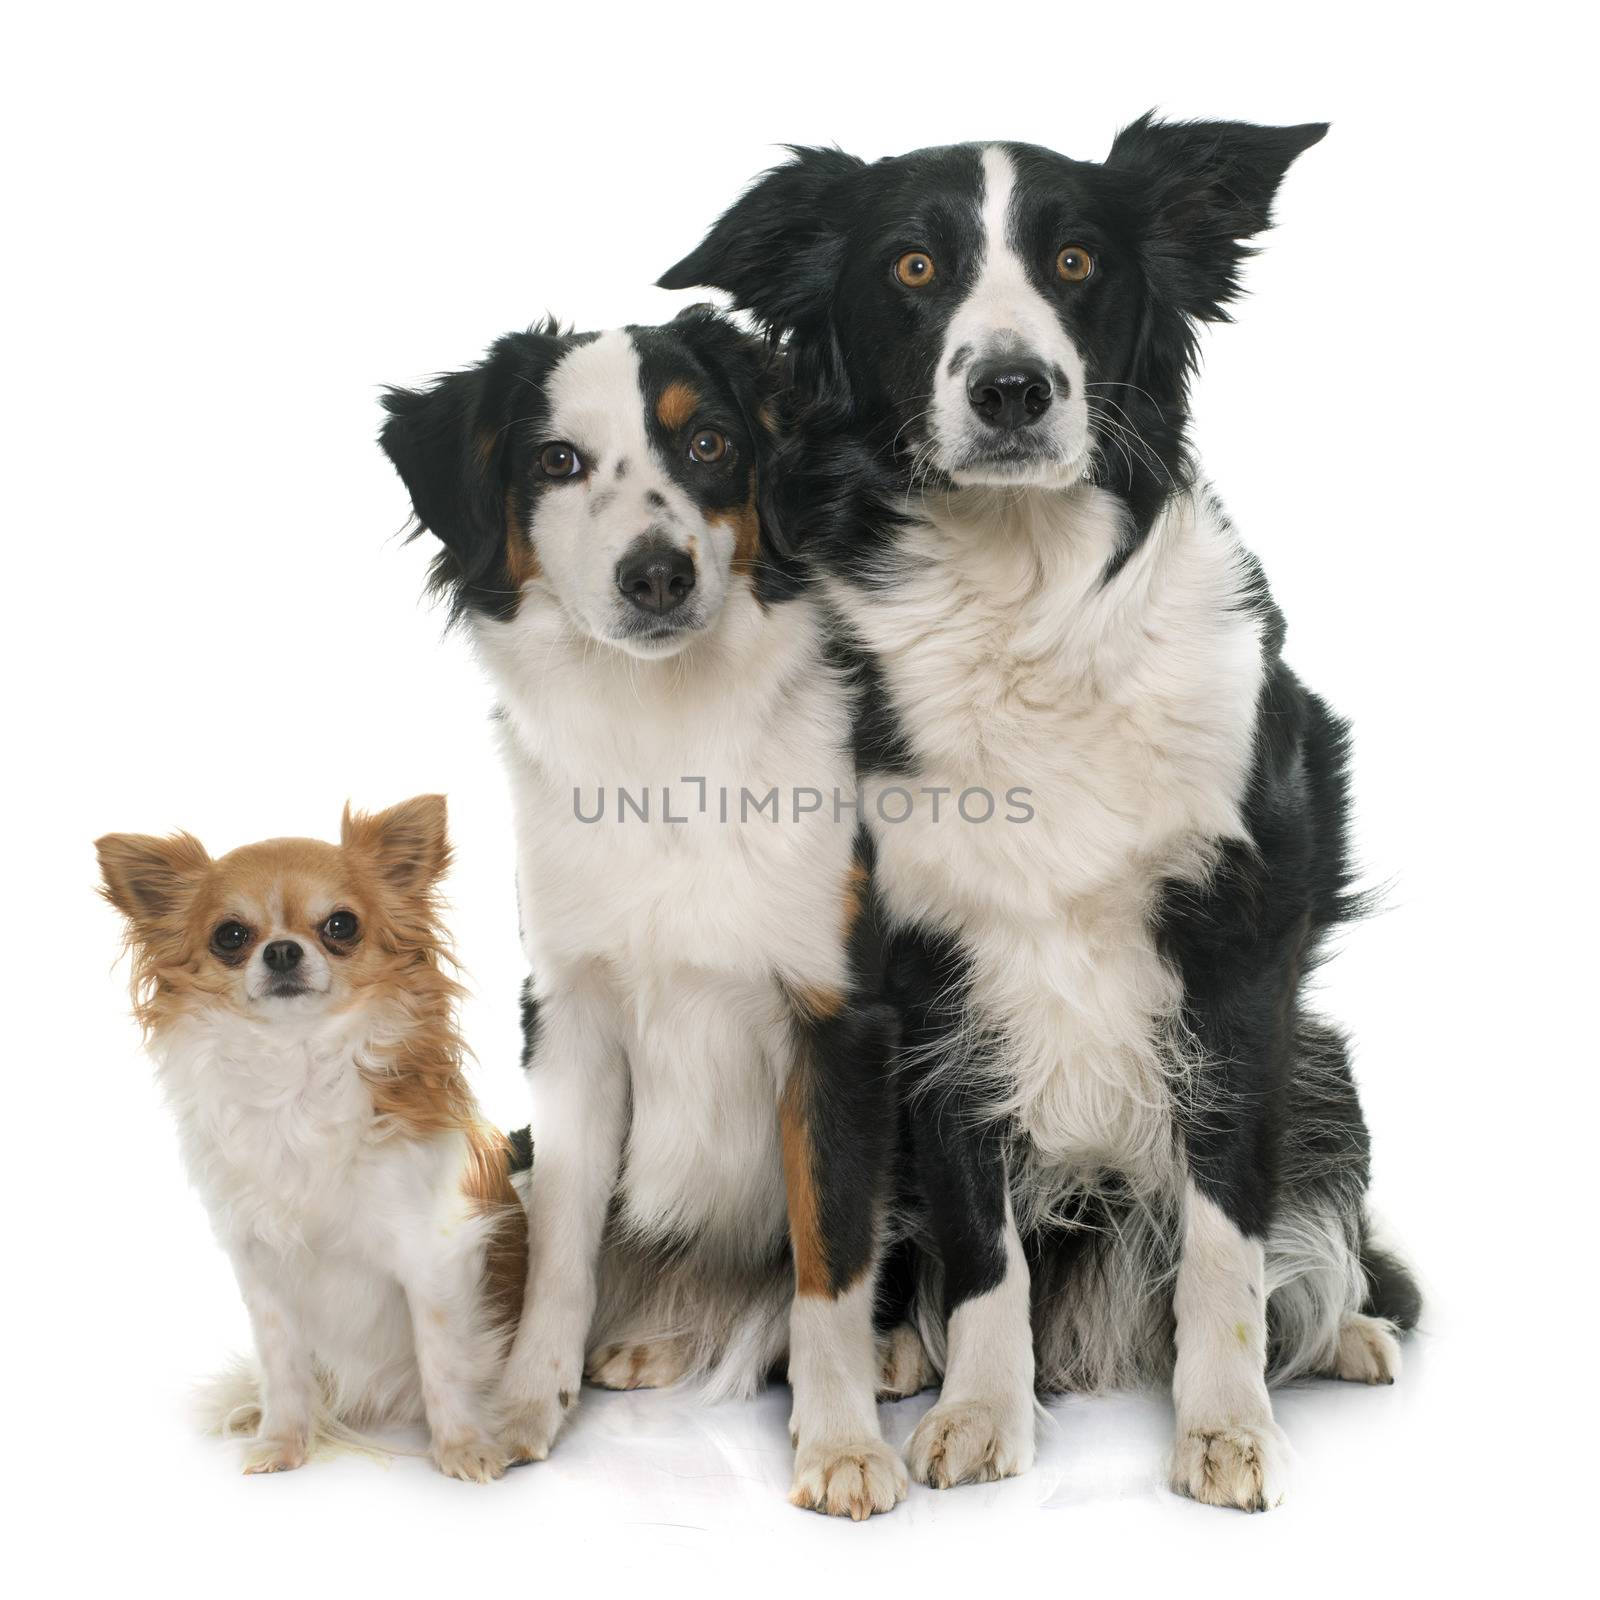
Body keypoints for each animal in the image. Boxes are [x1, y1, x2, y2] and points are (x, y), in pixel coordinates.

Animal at [95, 793, 524, 1478]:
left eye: (341, 926)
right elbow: (283, 1367)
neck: (295, 1071)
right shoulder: (262, 1271)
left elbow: (443, 1361)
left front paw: (462, 1448)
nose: (281, 951)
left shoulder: (433, 1255)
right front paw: (282, 1443)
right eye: (231, 937)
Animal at [377, 305, 915, 1516]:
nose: (657, 575)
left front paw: (841, 1439)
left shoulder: (838, 1017)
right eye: (556, 463)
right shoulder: (569, 1016)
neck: (665, 749)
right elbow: (563, 1248)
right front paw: (526, 1404)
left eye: (709, 443)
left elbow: (831, 1248)